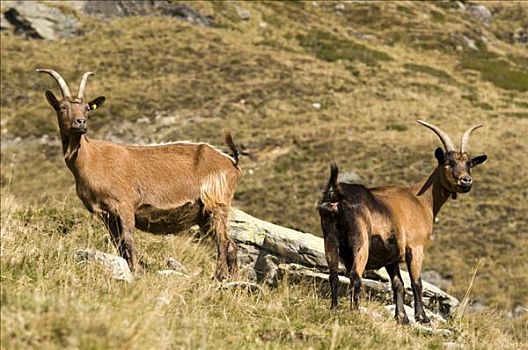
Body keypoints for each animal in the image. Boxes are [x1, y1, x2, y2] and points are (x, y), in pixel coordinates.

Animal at [37, 69, 241, 280]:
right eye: (62, 107)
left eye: (87, 108)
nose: (81, 122)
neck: (90, 159)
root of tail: (231, 162)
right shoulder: (106, 214)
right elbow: (118, 244)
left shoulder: (124, 205)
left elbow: (128, 239)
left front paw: (136, 271)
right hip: (204, 214)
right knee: (232, 245)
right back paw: (233, 279)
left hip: (216, 202)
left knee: (223, 242)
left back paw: (219, 276)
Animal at [318, 120, 486, 322]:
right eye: (448, 162)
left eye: (469, 164)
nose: (466, 181)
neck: (421, 200)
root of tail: (337, 193)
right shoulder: (416, 247)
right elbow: (416, 282)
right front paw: (422, 317)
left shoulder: (391, 255)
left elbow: (398, 283)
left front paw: (402, 318)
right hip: (360, 241)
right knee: (355, 275)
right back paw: (355, 311)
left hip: (330, 237)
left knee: (334, 275)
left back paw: (334, 308)